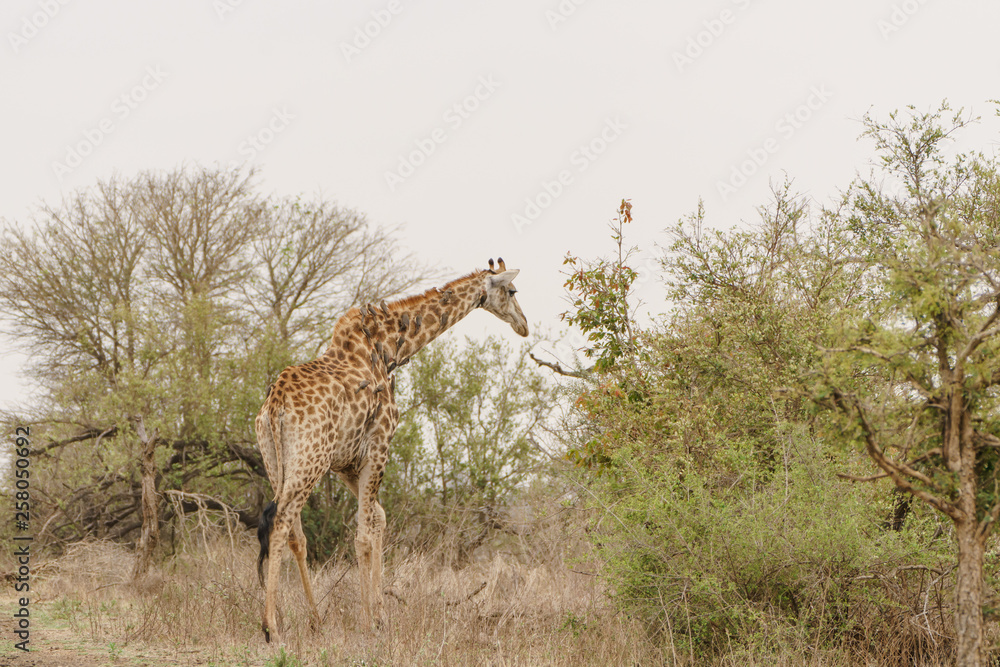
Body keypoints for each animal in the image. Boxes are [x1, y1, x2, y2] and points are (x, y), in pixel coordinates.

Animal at [254, 258, 528, 641]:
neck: (390, 348)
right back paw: (272, 628)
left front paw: (380, 614)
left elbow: (377, 519)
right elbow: (364, 533)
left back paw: (315, 620)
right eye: (512, 291)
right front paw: (371, 621)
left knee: (295, 534)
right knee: (280, 524)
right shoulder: (379, 444)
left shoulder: (347, 464)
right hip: (309, 461)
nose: (524, 326)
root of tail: (275, 404)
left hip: (274, 460)